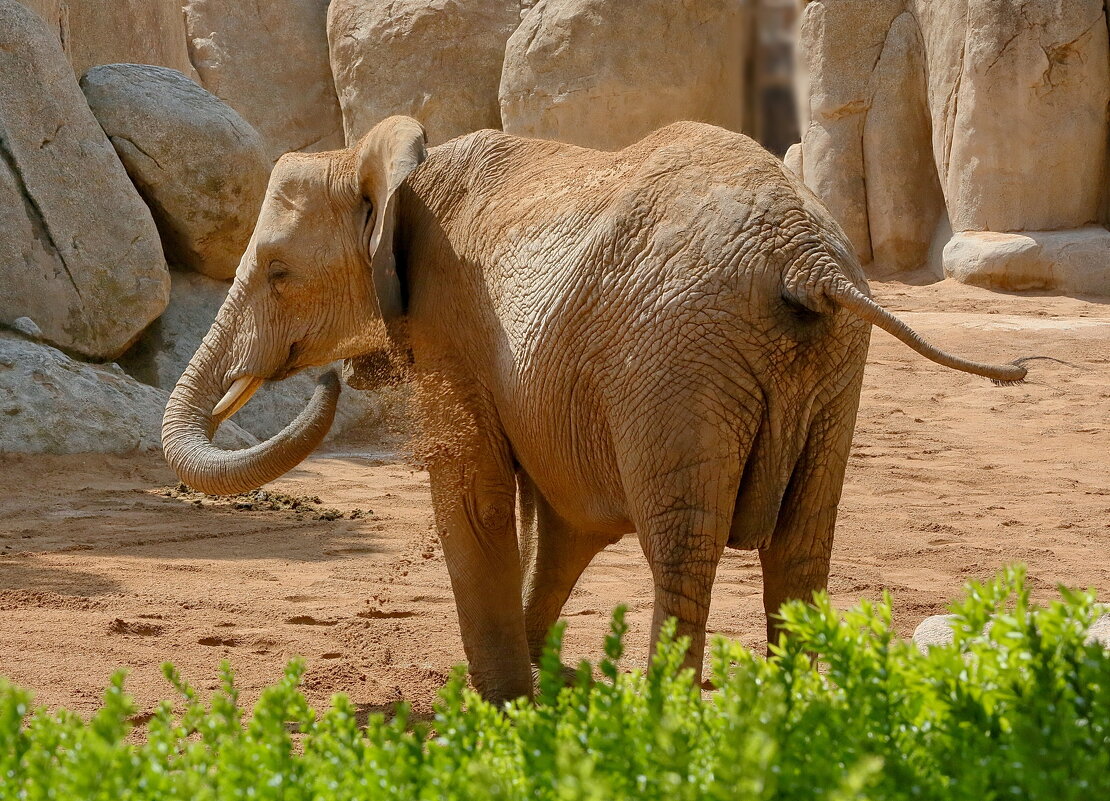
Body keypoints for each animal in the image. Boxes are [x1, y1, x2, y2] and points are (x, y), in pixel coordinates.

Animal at [160, 113, 1025, 701]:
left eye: (277, 272)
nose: (326, 379)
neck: (384, 159)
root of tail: (807, 260)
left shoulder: (452, 323)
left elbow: (474, 499)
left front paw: (496, 704)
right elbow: (563, 523)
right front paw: (537, 684)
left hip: (678, 361)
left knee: (684, 550)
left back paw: (661, 715)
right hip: (831, 367)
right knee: (802, 551)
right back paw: (797, 717)